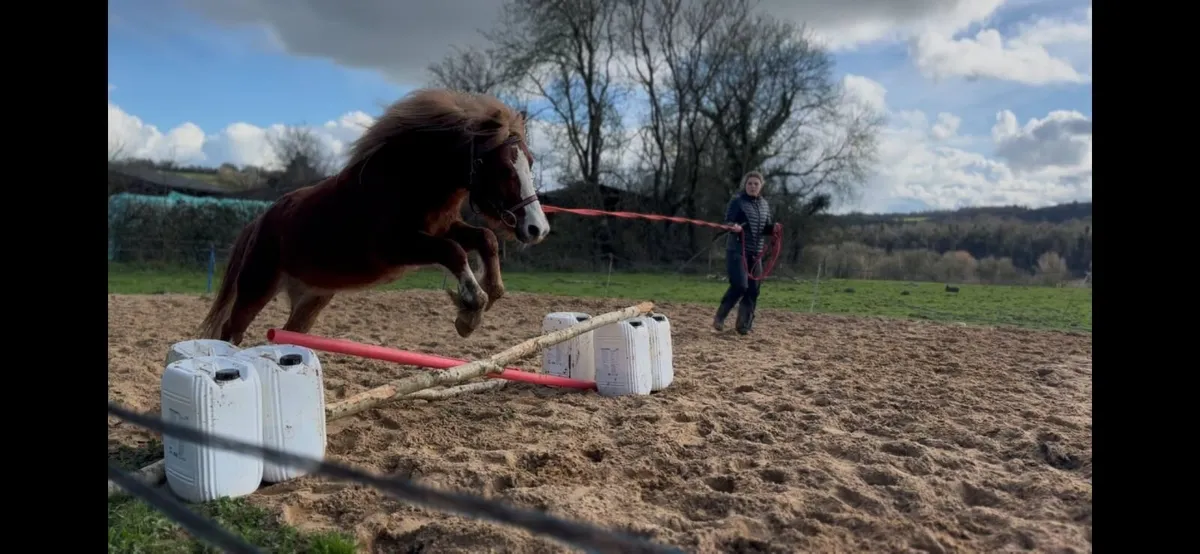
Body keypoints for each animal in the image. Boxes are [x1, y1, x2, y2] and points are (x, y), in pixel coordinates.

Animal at [196, 88, 550, 345]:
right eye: (504, 169)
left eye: (530, 162)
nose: (538, 229)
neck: (408, 181)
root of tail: (259, 222)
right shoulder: (397, 248)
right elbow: (453, 251)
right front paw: (470, 310)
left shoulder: (443, 227)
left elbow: (484, 238)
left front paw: (490, 292)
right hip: (256, 289)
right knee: (231, 331)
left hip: (312, 299)